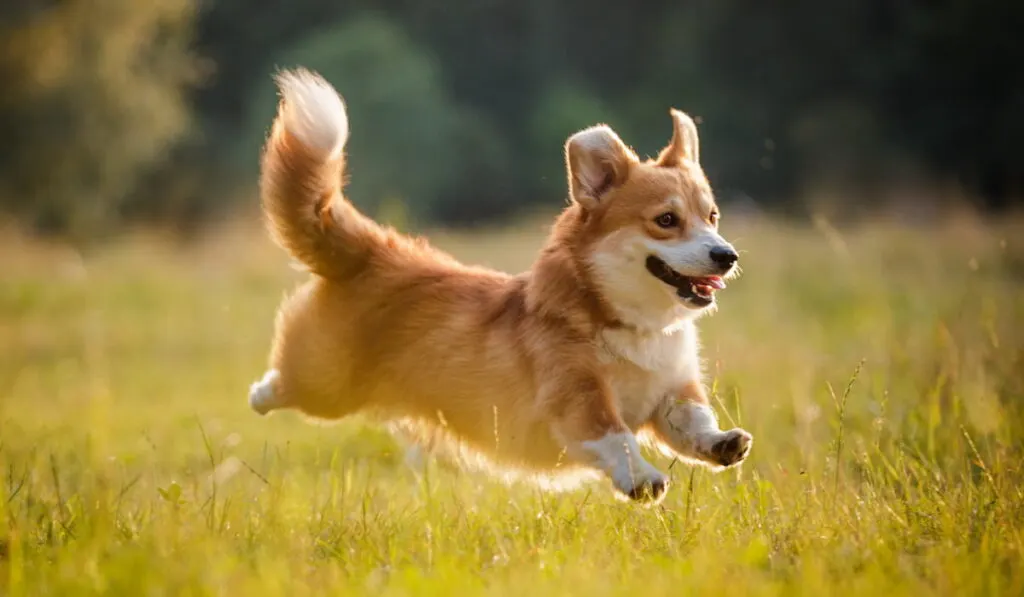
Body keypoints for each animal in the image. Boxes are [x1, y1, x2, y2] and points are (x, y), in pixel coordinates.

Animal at [248, 67, 753, 501]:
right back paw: (260, 395)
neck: (631, 323)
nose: (726, 256)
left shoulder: (671, 391)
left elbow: (691, 420)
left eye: (712, 217)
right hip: (326, 385)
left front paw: (722, 442)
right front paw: (644, 479)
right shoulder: (577, 398)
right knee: (282, 384)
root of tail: (374, 250)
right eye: (666, 220)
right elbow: (618, 438)